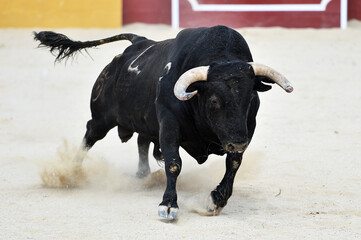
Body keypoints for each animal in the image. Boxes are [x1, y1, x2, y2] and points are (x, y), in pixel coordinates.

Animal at [33, 25, 292, 219]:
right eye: (214, 100)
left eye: (250, 97)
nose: (238, 142)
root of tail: (137, 42)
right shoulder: (169, 123)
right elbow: (174, 163)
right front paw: (168, 205)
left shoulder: (247, 127)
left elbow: (233, 164)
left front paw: (216, 200)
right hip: (101, 118)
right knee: (90, 136)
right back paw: (72, 173)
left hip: (145, 122)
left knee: (141, 140)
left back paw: (142, 174)